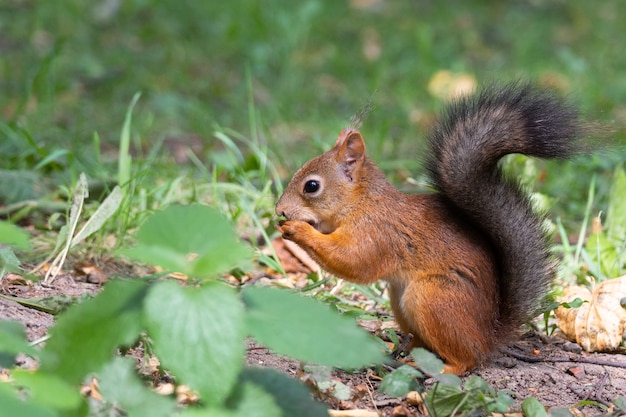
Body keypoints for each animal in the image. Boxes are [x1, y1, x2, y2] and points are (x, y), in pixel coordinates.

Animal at [276, 83, 584, 372]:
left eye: (311, 186)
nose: (279, 210)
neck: (362, 203)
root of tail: (490, 336)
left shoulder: (377, 233)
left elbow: (354, 262)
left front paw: (297, 230)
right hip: (402, 301)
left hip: (432, 298)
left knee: (467, 359)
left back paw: (441, 367)